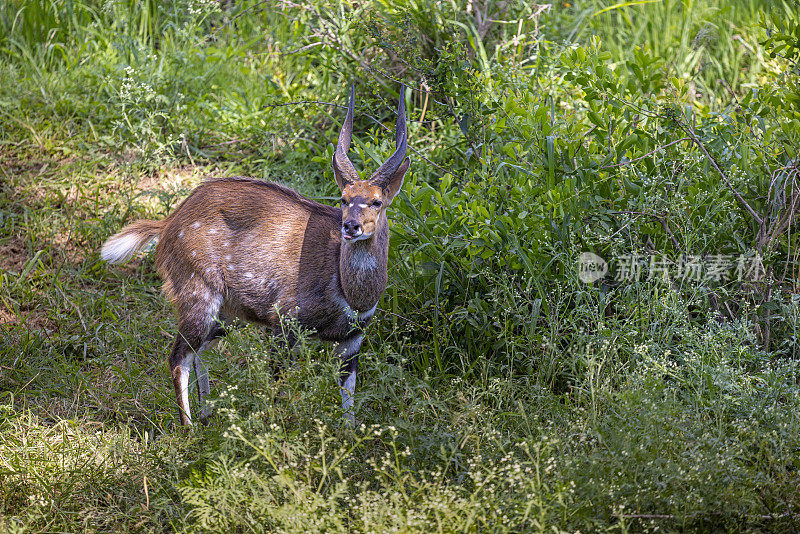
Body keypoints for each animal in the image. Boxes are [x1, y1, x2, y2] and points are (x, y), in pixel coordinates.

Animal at [101, 84, 410, 428]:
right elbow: (277, 388)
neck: (348, 291)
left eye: (377, 202)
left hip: (227, 313)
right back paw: (189, 428)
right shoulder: (284, 323)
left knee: (201, 351)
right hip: (199, 292)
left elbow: (348, 398)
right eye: (343, 199)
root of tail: (169, 223)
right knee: (179, 356)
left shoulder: (353, 339)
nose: (350, 226)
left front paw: (349, 434)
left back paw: (208, 414)